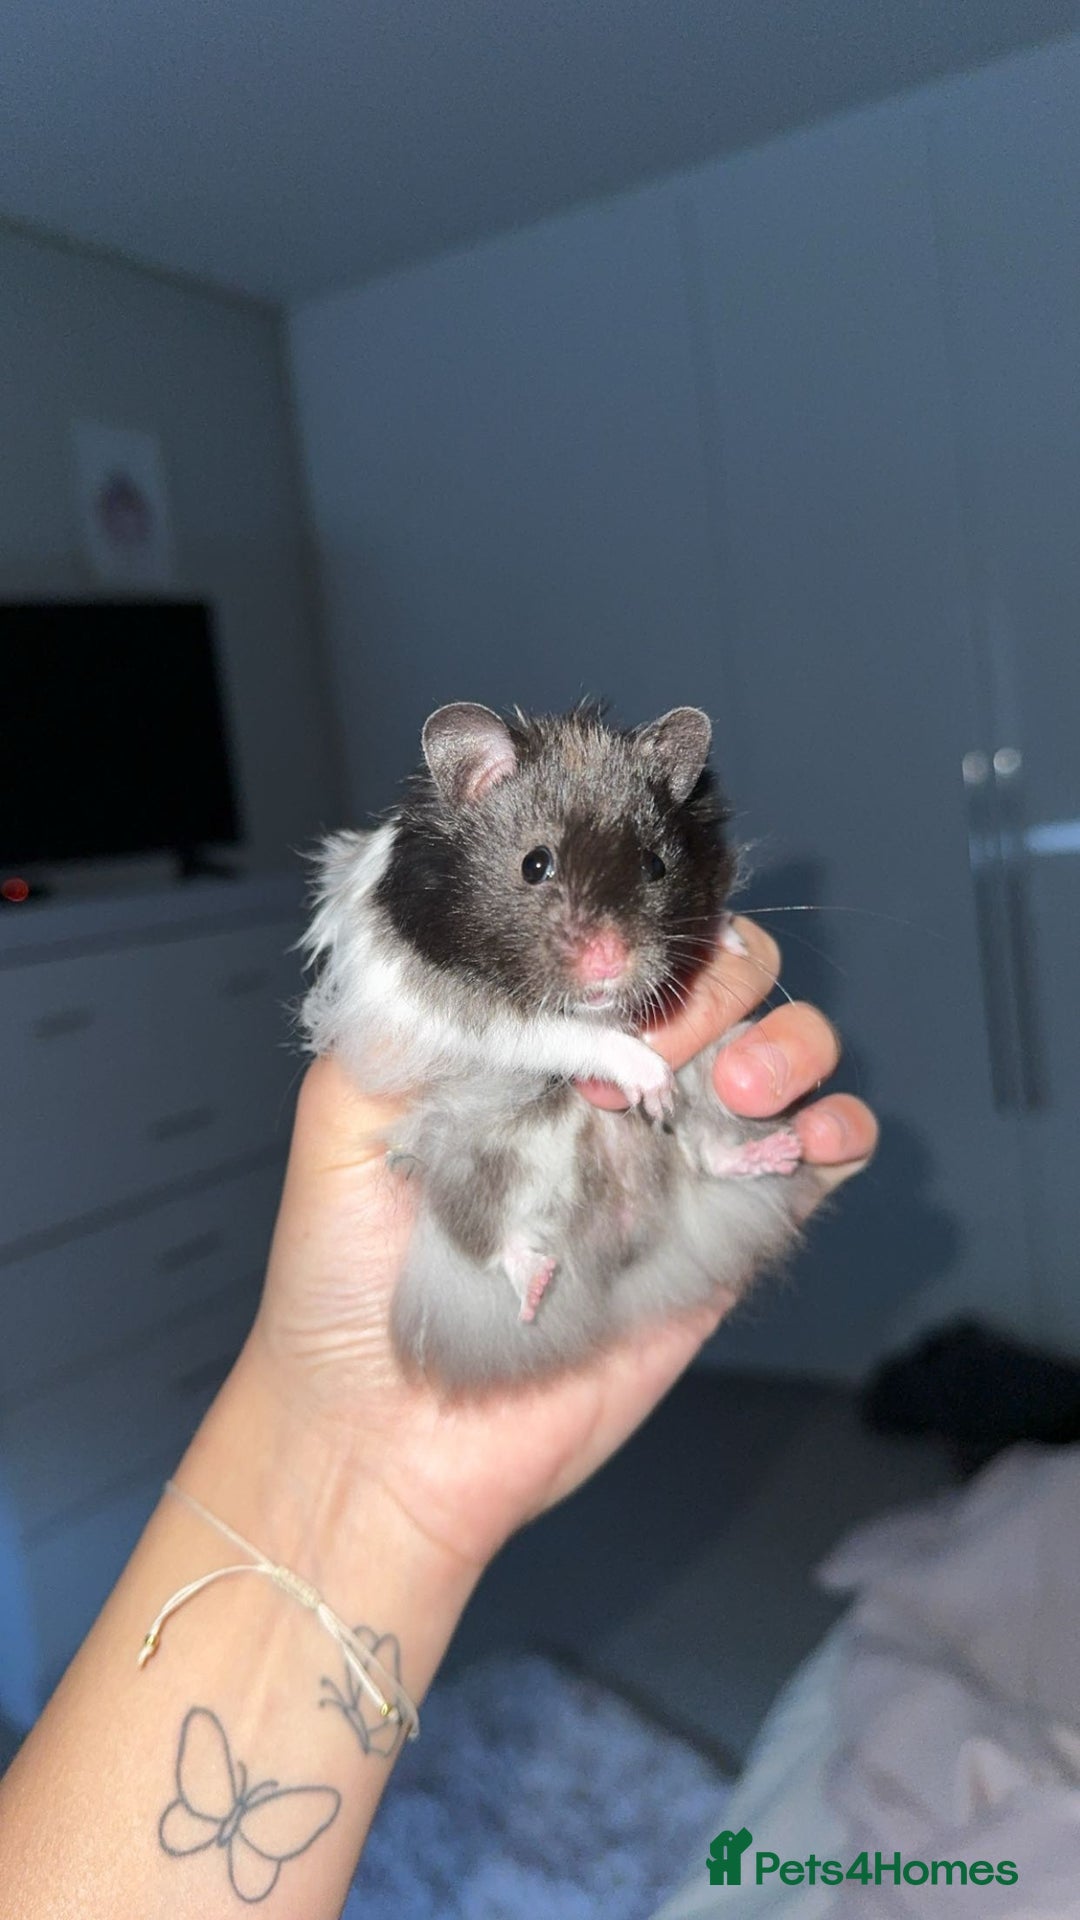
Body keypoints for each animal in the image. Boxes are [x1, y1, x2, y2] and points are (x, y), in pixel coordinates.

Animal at [298, 701, 825, 1392]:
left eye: (655, 865)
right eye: (535, 863)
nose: (610, 962)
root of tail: (622, 1240)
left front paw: (727, 942)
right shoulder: (452, 1012)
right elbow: (562, 1032)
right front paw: (649, 1080)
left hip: (713, 1073)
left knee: (710, 1153)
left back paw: (773, 1154)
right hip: (470, 1161)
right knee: (486, 1234)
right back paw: (536, 1283)